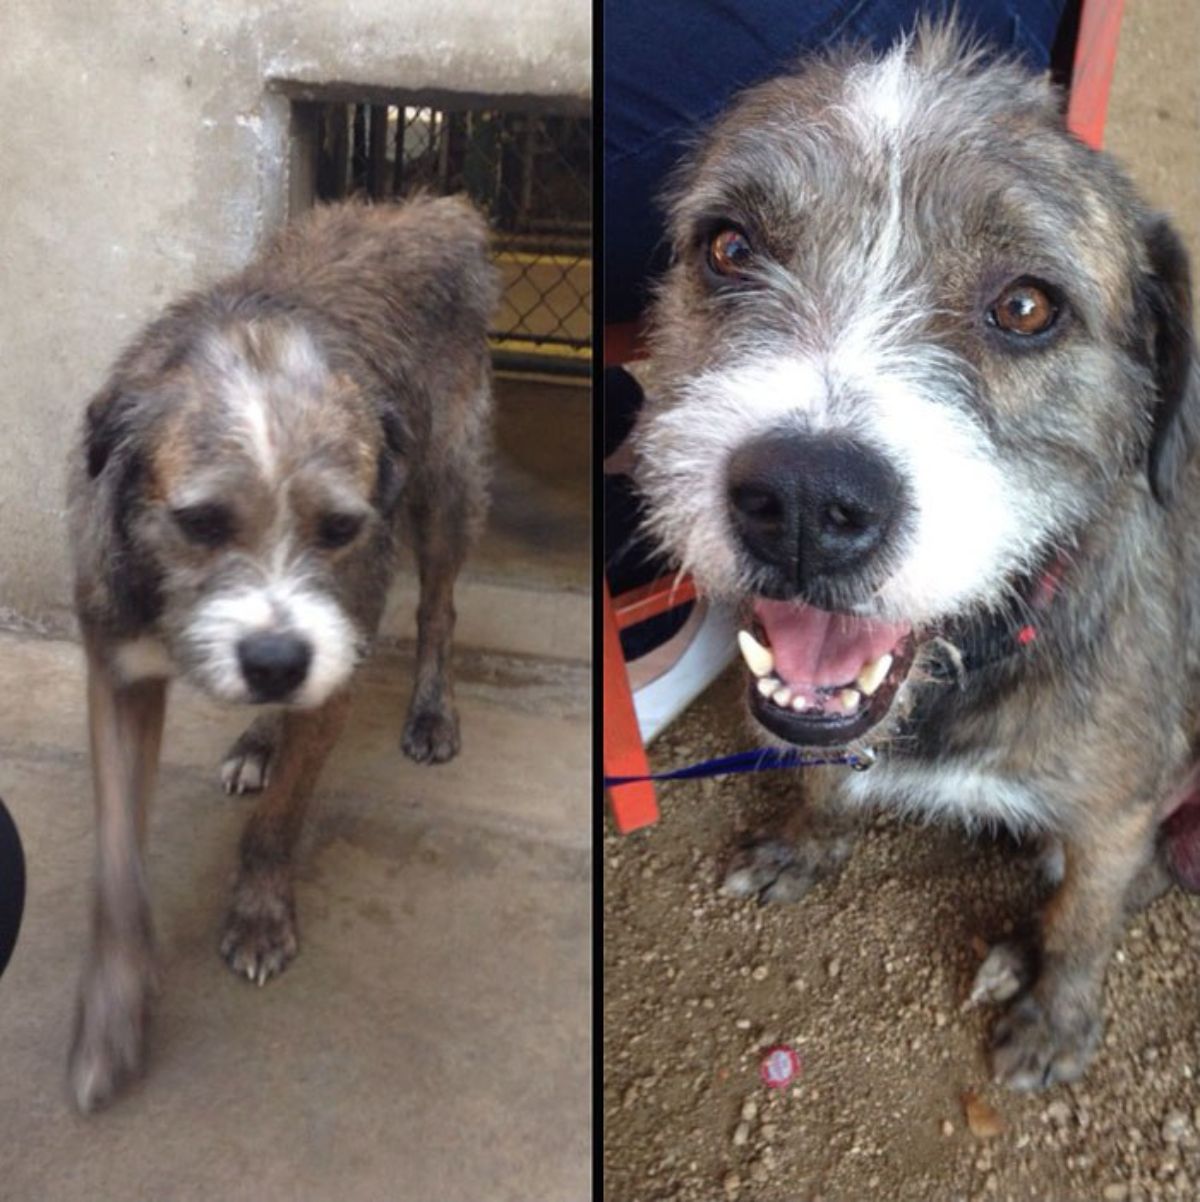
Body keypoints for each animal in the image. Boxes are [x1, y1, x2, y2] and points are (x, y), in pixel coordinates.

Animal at [64, 194, 497, 1105]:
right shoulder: (117, 669)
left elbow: (281, 819)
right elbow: (117, 864)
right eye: (199, 522)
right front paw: (112, 1015)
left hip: (447, 492)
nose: (274, 661)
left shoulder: (336, 660)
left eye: (339, 527)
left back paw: (430, 711)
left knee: (438, 611)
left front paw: (259, 915)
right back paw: (261, 735)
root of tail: (429, 211)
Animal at [634, 18, 1200, 1091]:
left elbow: (1089, 915)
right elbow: (822, 779)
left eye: (1027, 307)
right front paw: (804, 846)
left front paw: (1055, 1016)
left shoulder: (1115, 811)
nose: (803, 503)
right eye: (730, 247)